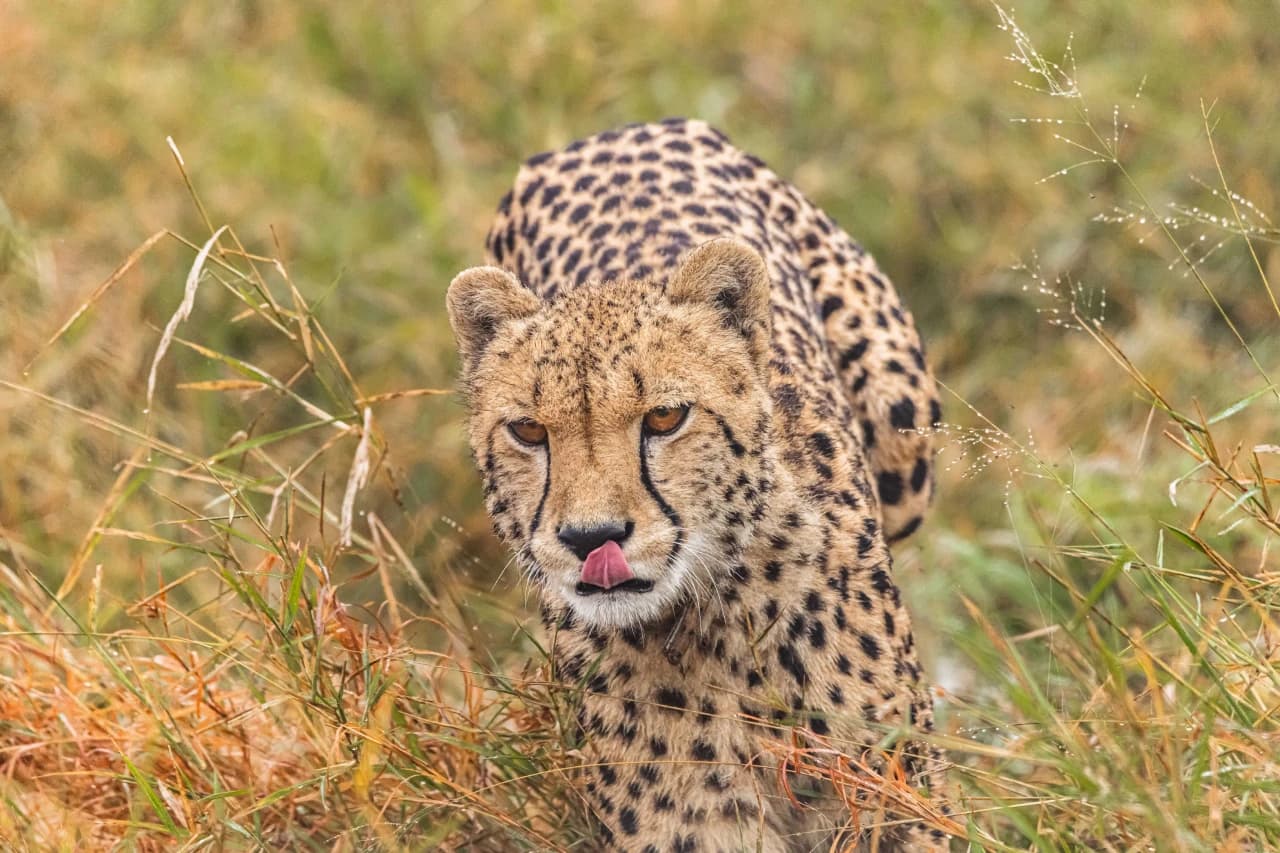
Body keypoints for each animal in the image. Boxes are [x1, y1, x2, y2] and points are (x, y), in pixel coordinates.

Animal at [447, 118, 949, 852]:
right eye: (529, 430)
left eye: (665, 416)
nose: (591, 538)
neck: (717, 616)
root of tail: (612, 132)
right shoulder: (690, 822)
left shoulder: (897, 796)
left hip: (902, 434)